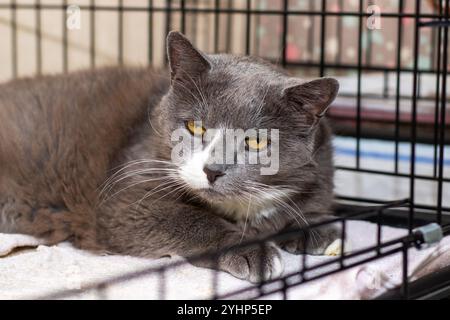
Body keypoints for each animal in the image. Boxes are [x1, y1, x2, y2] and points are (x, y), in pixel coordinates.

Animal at [0, 31, 340, 284]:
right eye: (195, 126)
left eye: (256, 141)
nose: (213, 170)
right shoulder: (125, 200)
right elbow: (191, 219)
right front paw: (252, 251)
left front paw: (319, 230)